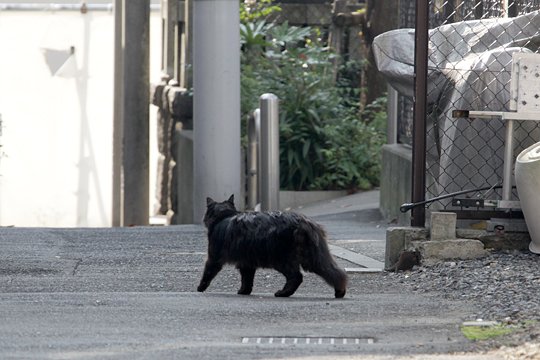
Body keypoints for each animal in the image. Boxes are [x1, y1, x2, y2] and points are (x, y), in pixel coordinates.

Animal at [197, 195, 346, 296]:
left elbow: (207, 274)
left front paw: (200, 288)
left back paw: (282, 293)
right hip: (314, 258)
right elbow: (247, 280)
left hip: (281, 259)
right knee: (336, 273)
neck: (224, 216)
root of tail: (302, 221)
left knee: (296, 277)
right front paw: (244, 291)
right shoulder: (246, 263)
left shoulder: (214, 258)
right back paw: (340, 292)